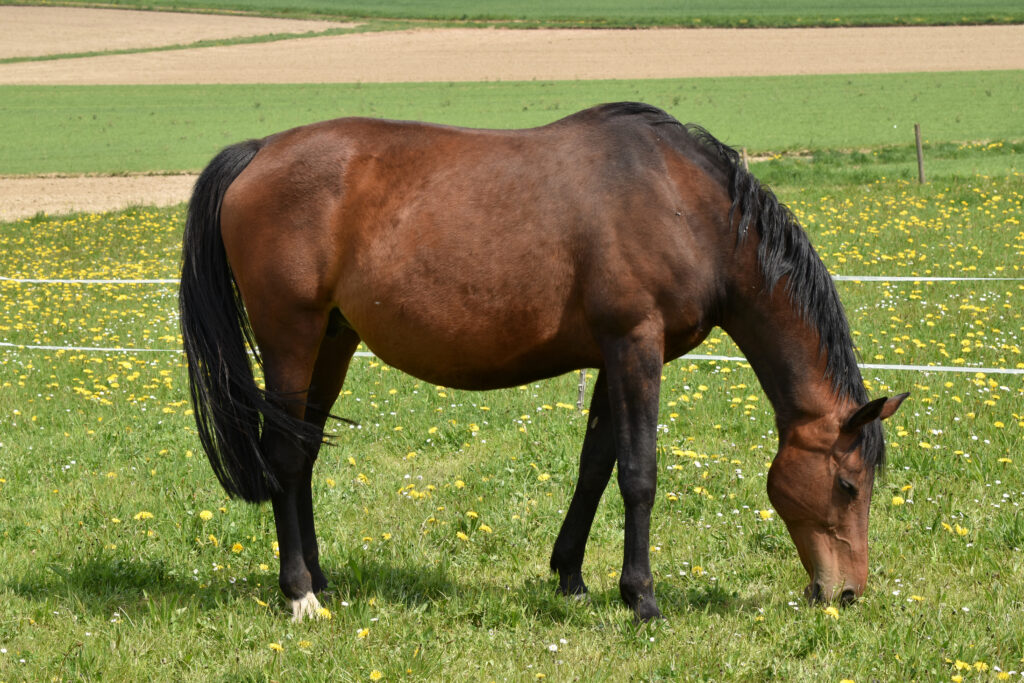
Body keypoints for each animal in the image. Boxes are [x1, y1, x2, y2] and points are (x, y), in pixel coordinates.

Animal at [179, 102, 908, 622]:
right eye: (848, 485)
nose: (845, 593)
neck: (686, 205)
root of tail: (259, 153)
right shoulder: (636, 344)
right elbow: (638, 473)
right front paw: (642, 598)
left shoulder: (614, 356)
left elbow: (595, 466)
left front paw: (574, 578)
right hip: (291, 337)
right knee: (283, 455)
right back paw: (299, 593)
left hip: (333, 339)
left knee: (303, 454)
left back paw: (321, 578)